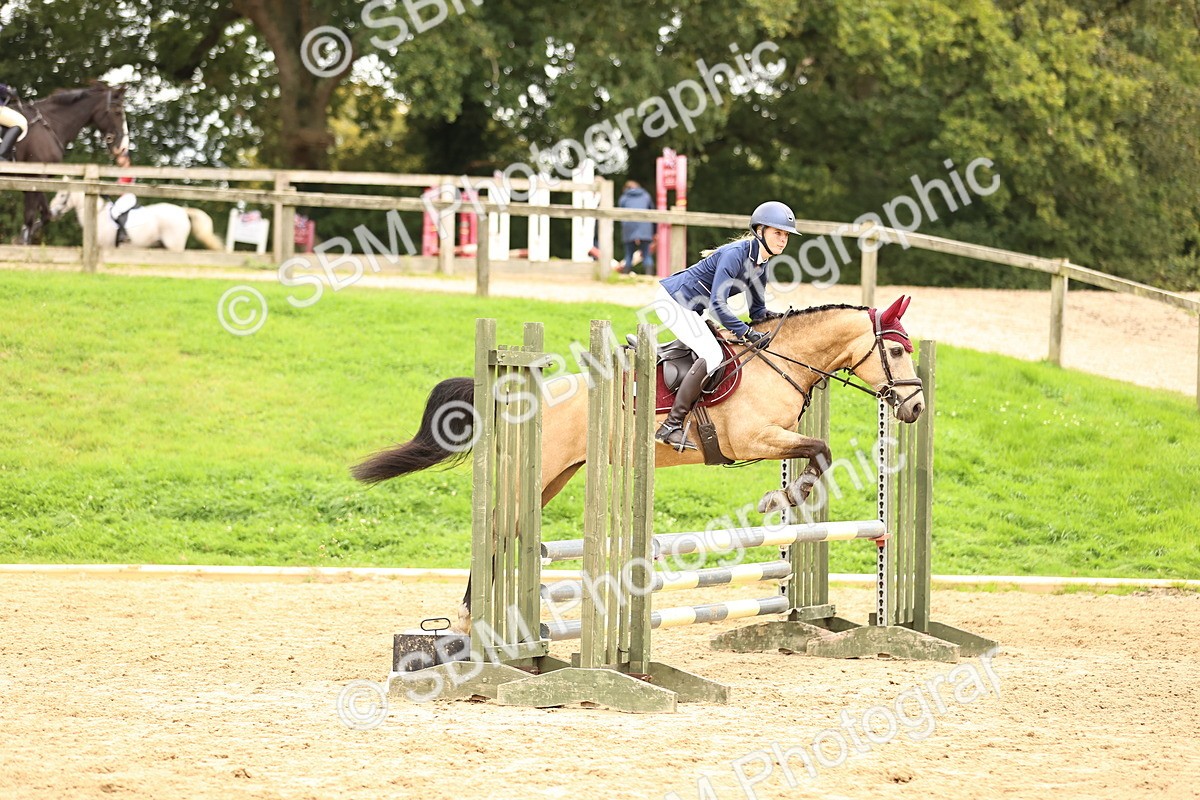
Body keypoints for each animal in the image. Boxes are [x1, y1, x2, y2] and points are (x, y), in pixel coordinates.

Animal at [10, 82, 130, 245]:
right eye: (117, 112)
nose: (123, 148)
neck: (52, 123)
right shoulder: (35, 178)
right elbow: (32, 217)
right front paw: (22, 243)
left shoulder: (35, 180)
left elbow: (44, 215)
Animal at [48, 191, 223, 252]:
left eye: (62, 195)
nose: (51, 213)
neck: (97, 214)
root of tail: (182, 210)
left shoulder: (107, 247)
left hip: (175, 246)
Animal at [351, 296, 925, 627]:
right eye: (896, 352)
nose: (916, 408)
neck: (781, 362)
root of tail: (520, 395)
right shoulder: (755, 439)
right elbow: (819, 450)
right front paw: (782, 494)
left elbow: (819, 451)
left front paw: (789, 496)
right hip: (541, 471)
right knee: (496, 528)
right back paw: (475, 618)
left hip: (555, 478)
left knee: (508, 530)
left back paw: (486, 618)